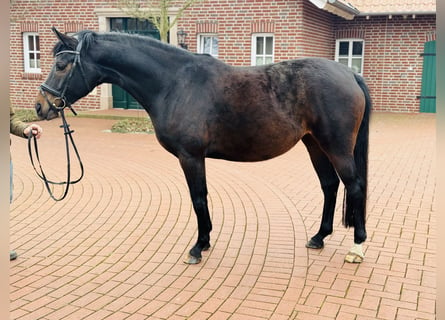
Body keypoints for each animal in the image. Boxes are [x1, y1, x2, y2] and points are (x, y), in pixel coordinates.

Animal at [34, 27, 370, 264]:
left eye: (62, 64)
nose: (41, 106)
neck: (174, 83)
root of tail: (349, 74)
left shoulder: (190, 156)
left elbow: (198, 198)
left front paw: (198, 247)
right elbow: (201, 198)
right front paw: (205, 242)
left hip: (336, 147)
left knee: (354, 186)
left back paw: (357, 246)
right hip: (314, 144)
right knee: (330, 185)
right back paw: (319, 237)